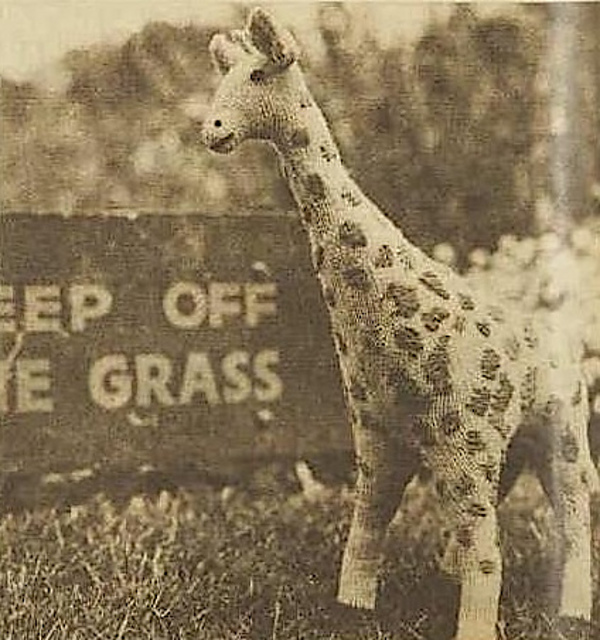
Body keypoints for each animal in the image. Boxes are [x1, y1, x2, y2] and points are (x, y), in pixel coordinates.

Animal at [196, 8, 598, 640]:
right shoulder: (380, 438)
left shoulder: (464, 443)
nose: (212, 130)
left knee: (573, 514)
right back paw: (449, 571)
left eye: (260, 74)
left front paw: (475, 629)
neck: (377, 328)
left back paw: (574, 610)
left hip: (562, 436)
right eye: (227, 76)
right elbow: (368, 525)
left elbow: (487, 549)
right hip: (514, 444)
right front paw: (354, 608)